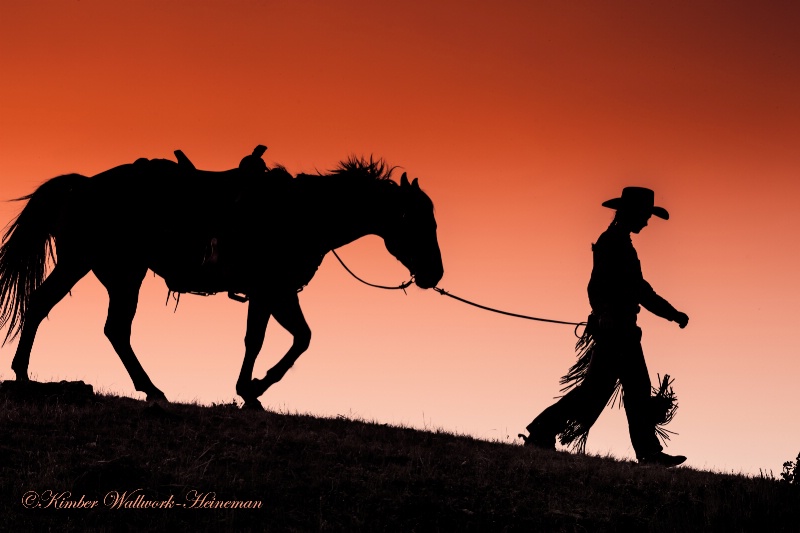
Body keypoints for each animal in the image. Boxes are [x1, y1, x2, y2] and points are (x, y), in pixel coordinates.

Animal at [0, 151, 444, 408]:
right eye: (418, 221)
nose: (435, 274)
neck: (301, 213)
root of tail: (82, 185)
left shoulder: (279, 292)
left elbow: (298, 338)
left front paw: (255, 388)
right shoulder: (269, 291)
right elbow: (263, 340)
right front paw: (252, 390)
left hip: (101, 269)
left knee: (83, 318)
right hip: (107, 269)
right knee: (89, 320)